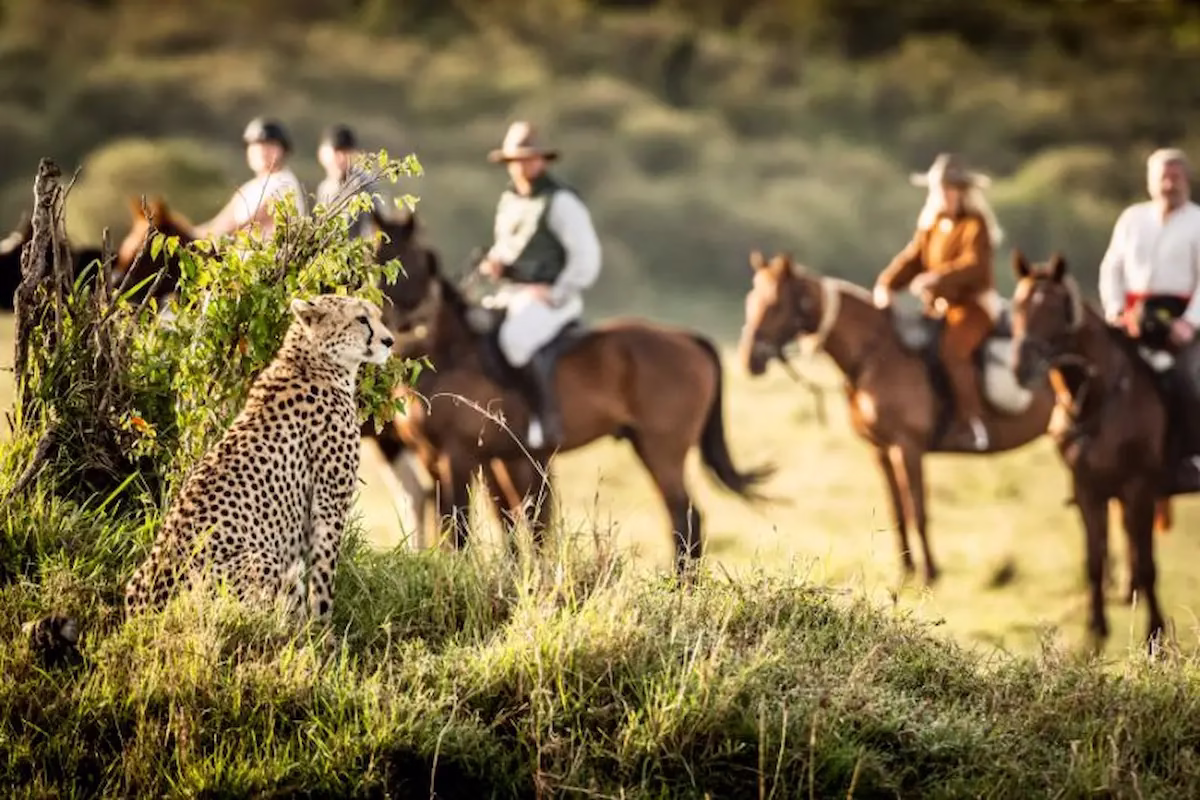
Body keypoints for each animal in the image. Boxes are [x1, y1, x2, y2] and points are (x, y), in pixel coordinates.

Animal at [381, 258, 776, 575]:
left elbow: (465, 522)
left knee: (685, 516)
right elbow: (507, 520)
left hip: (661, 450)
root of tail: (688, 338)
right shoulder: (473, 457)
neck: (452, 352)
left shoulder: (462, 456)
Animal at [738, 251, 1057, 586]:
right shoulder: (880, 450)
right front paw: (906, 571)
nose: (749, 358)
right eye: (751, 300)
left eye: (775, 304)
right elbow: (897, 511)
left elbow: (917, 509)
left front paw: (930, 573)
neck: (878, 354)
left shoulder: (908, 446)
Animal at [1008, 250, 1174, 651]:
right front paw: (1095, 633)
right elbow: (1094, 561)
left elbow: (1147, 565)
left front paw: (1155, 636)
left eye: (1055, 309)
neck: (1098, 401)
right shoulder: (1088, 490)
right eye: (1018, 305)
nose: (1021, 367)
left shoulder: (1140, 487)